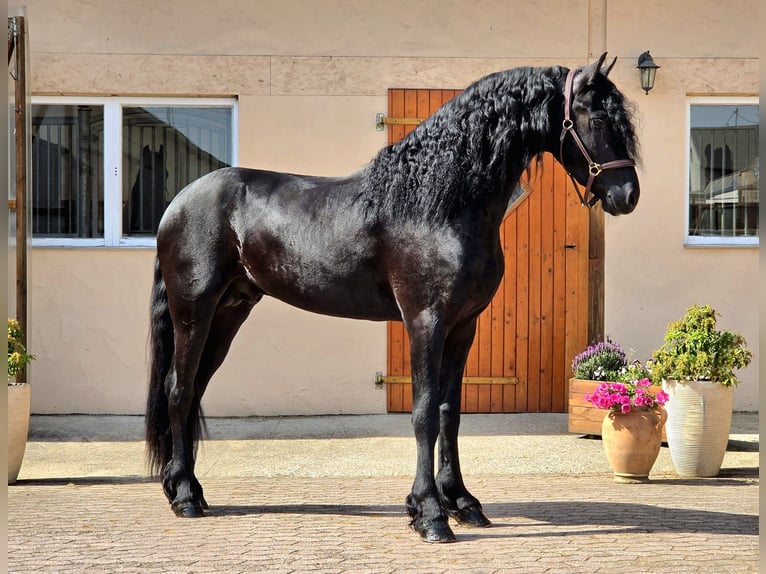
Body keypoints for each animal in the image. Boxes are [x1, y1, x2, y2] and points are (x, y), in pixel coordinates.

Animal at [145, 52, 640, 543]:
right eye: (597, 117)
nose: (628, 195)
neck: (435, 202)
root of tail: (177, 203)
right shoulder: (425, 321)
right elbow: (423, 414)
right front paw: (429, 513)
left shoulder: (463, 327)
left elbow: (449, 413)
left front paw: (462, 502)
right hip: (194, 313)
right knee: (179, 389)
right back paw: (185, 496)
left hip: (229, 314)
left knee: (193, 390)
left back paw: (186, 488)